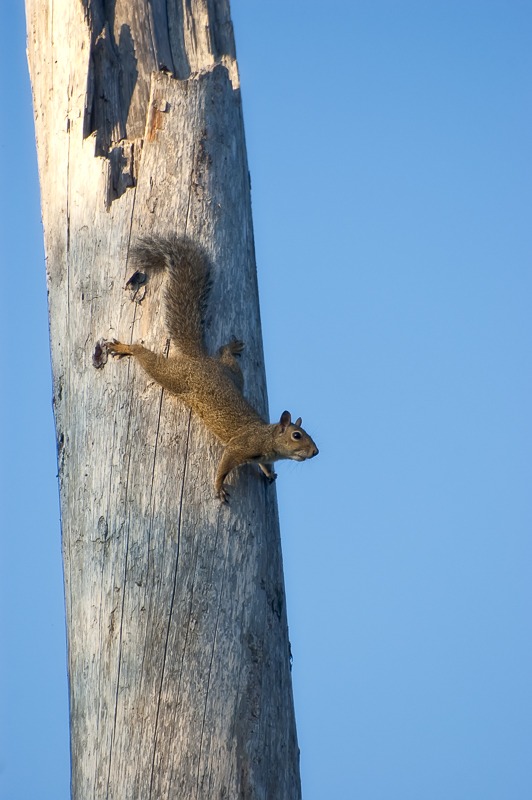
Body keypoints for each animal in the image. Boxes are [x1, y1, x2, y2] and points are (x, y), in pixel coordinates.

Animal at [103, 235, 318, 501]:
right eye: (297, 435)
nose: (315, 451)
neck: (266, 437)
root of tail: (200, 359)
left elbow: (264, 465)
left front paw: (269, 474)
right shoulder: (239, 447)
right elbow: (224, 466)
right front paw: (219, 487)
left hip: (233, 374)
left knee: (226, 357)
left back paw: (231, 348)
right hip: (173, 376)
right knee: (146, 357)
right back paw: (126, 348)